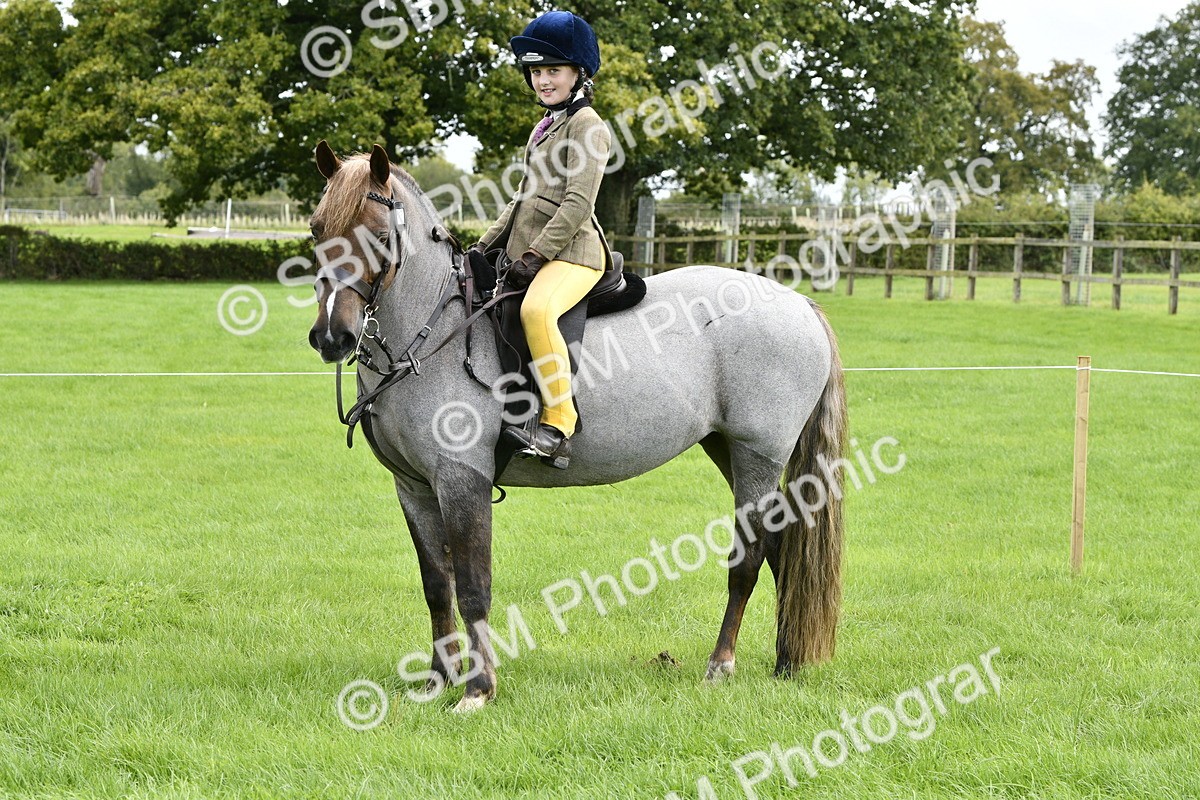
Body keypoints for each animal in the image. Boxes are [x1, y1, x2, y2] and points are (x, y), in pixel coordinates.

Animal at [307, 142, 846, 713]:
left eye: (379, 234)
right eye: (317, 228)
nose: (332, 336)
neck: (437, 329)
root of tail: (798, 302)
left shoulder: (460, 480)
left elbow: (473, 586)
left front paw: (478, 689)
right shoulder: (413, 487)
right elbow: (437, 584)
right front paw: (437, 680)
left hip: (757, 455)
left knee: (749, 558)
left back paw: (721, 665)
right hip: (726, 448)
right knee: (780, 551)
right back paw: (786, 663)